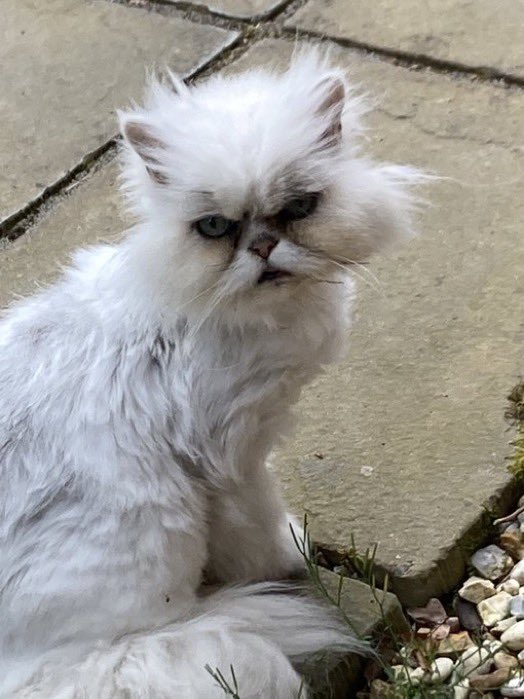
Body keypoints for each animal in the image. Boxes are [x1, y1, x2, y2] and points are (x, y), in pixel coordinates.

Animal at [0, 46, 420, 696]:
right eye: (216, 227)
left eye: (298, 208)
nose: (265, 248)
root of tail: (21, 671)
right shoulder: (232, 459)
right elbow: (260, 527)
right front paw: (289, 556)